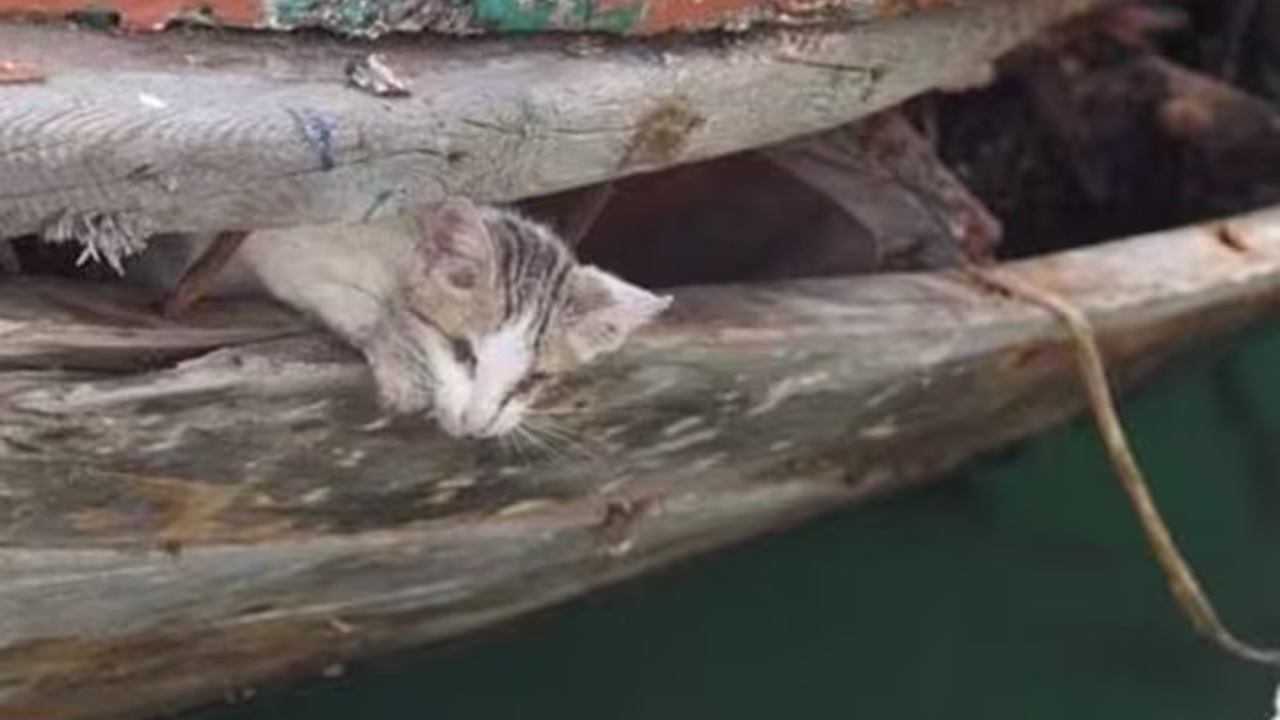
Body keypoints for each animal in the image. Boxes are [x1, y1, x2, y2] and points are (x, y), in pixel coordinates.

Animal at [128, 196, 670, 438]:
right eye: (463, 352)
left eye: (534, 379)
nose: (478, 425)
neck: (399, 248)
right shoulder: (283, 249)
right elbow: (367, 304)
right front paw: (400, 360)